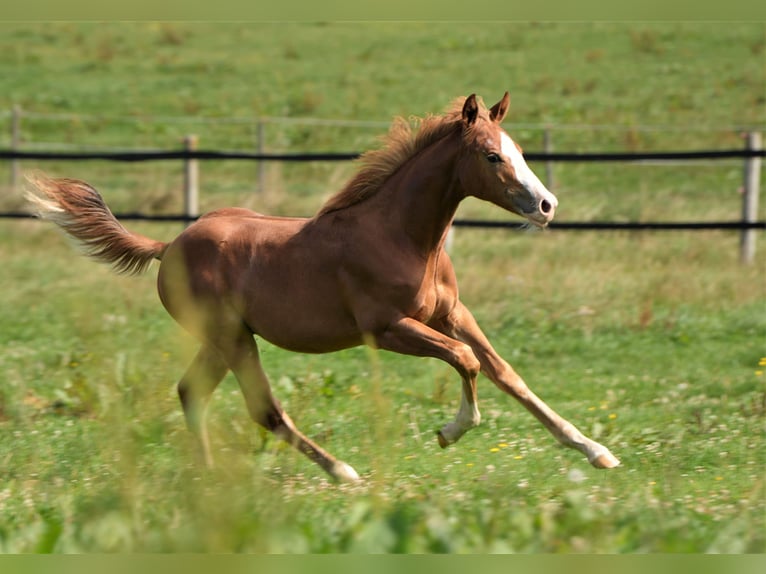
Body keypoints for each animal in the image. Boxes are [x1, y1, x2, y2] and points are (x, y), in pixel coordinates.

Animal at [27, 93, 620, 482]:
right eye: (492, 155)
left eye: (519, 148)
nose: (546, 206)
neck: (402, 235)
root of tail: (169, 244)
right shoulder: (388, 328)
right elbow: (467, 362)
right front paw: (450, 432)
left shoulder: (452, 314)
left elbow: (505, 373)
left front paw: (593, 449)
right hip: (232, 338)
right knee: (263, 410)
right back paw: (342, 472)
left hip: (224, 339)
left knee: (192, 393)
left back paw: (214, 480)